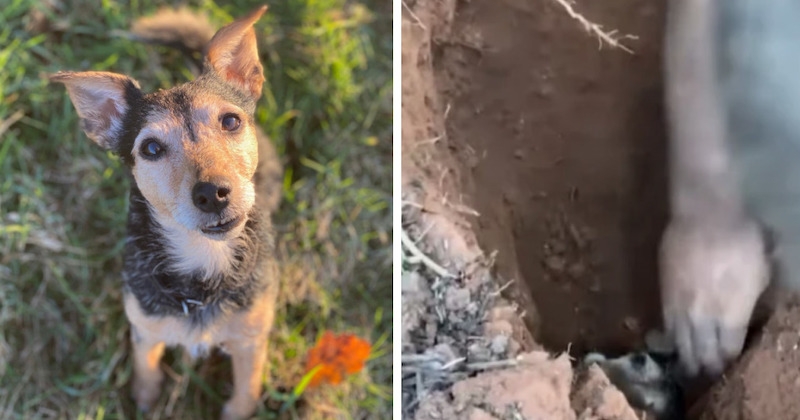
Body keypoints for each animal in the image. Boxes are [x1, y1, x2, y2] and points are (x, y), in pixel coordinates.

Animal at [52, 6, 282, 420]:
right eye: (151, 149)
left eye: (231, 121)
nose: (212, 193)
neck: (201, 272)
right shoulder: (145, 328)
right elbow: (145, 368)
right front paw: (145, 400)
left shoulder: (251, 339)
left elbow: (245, 391)